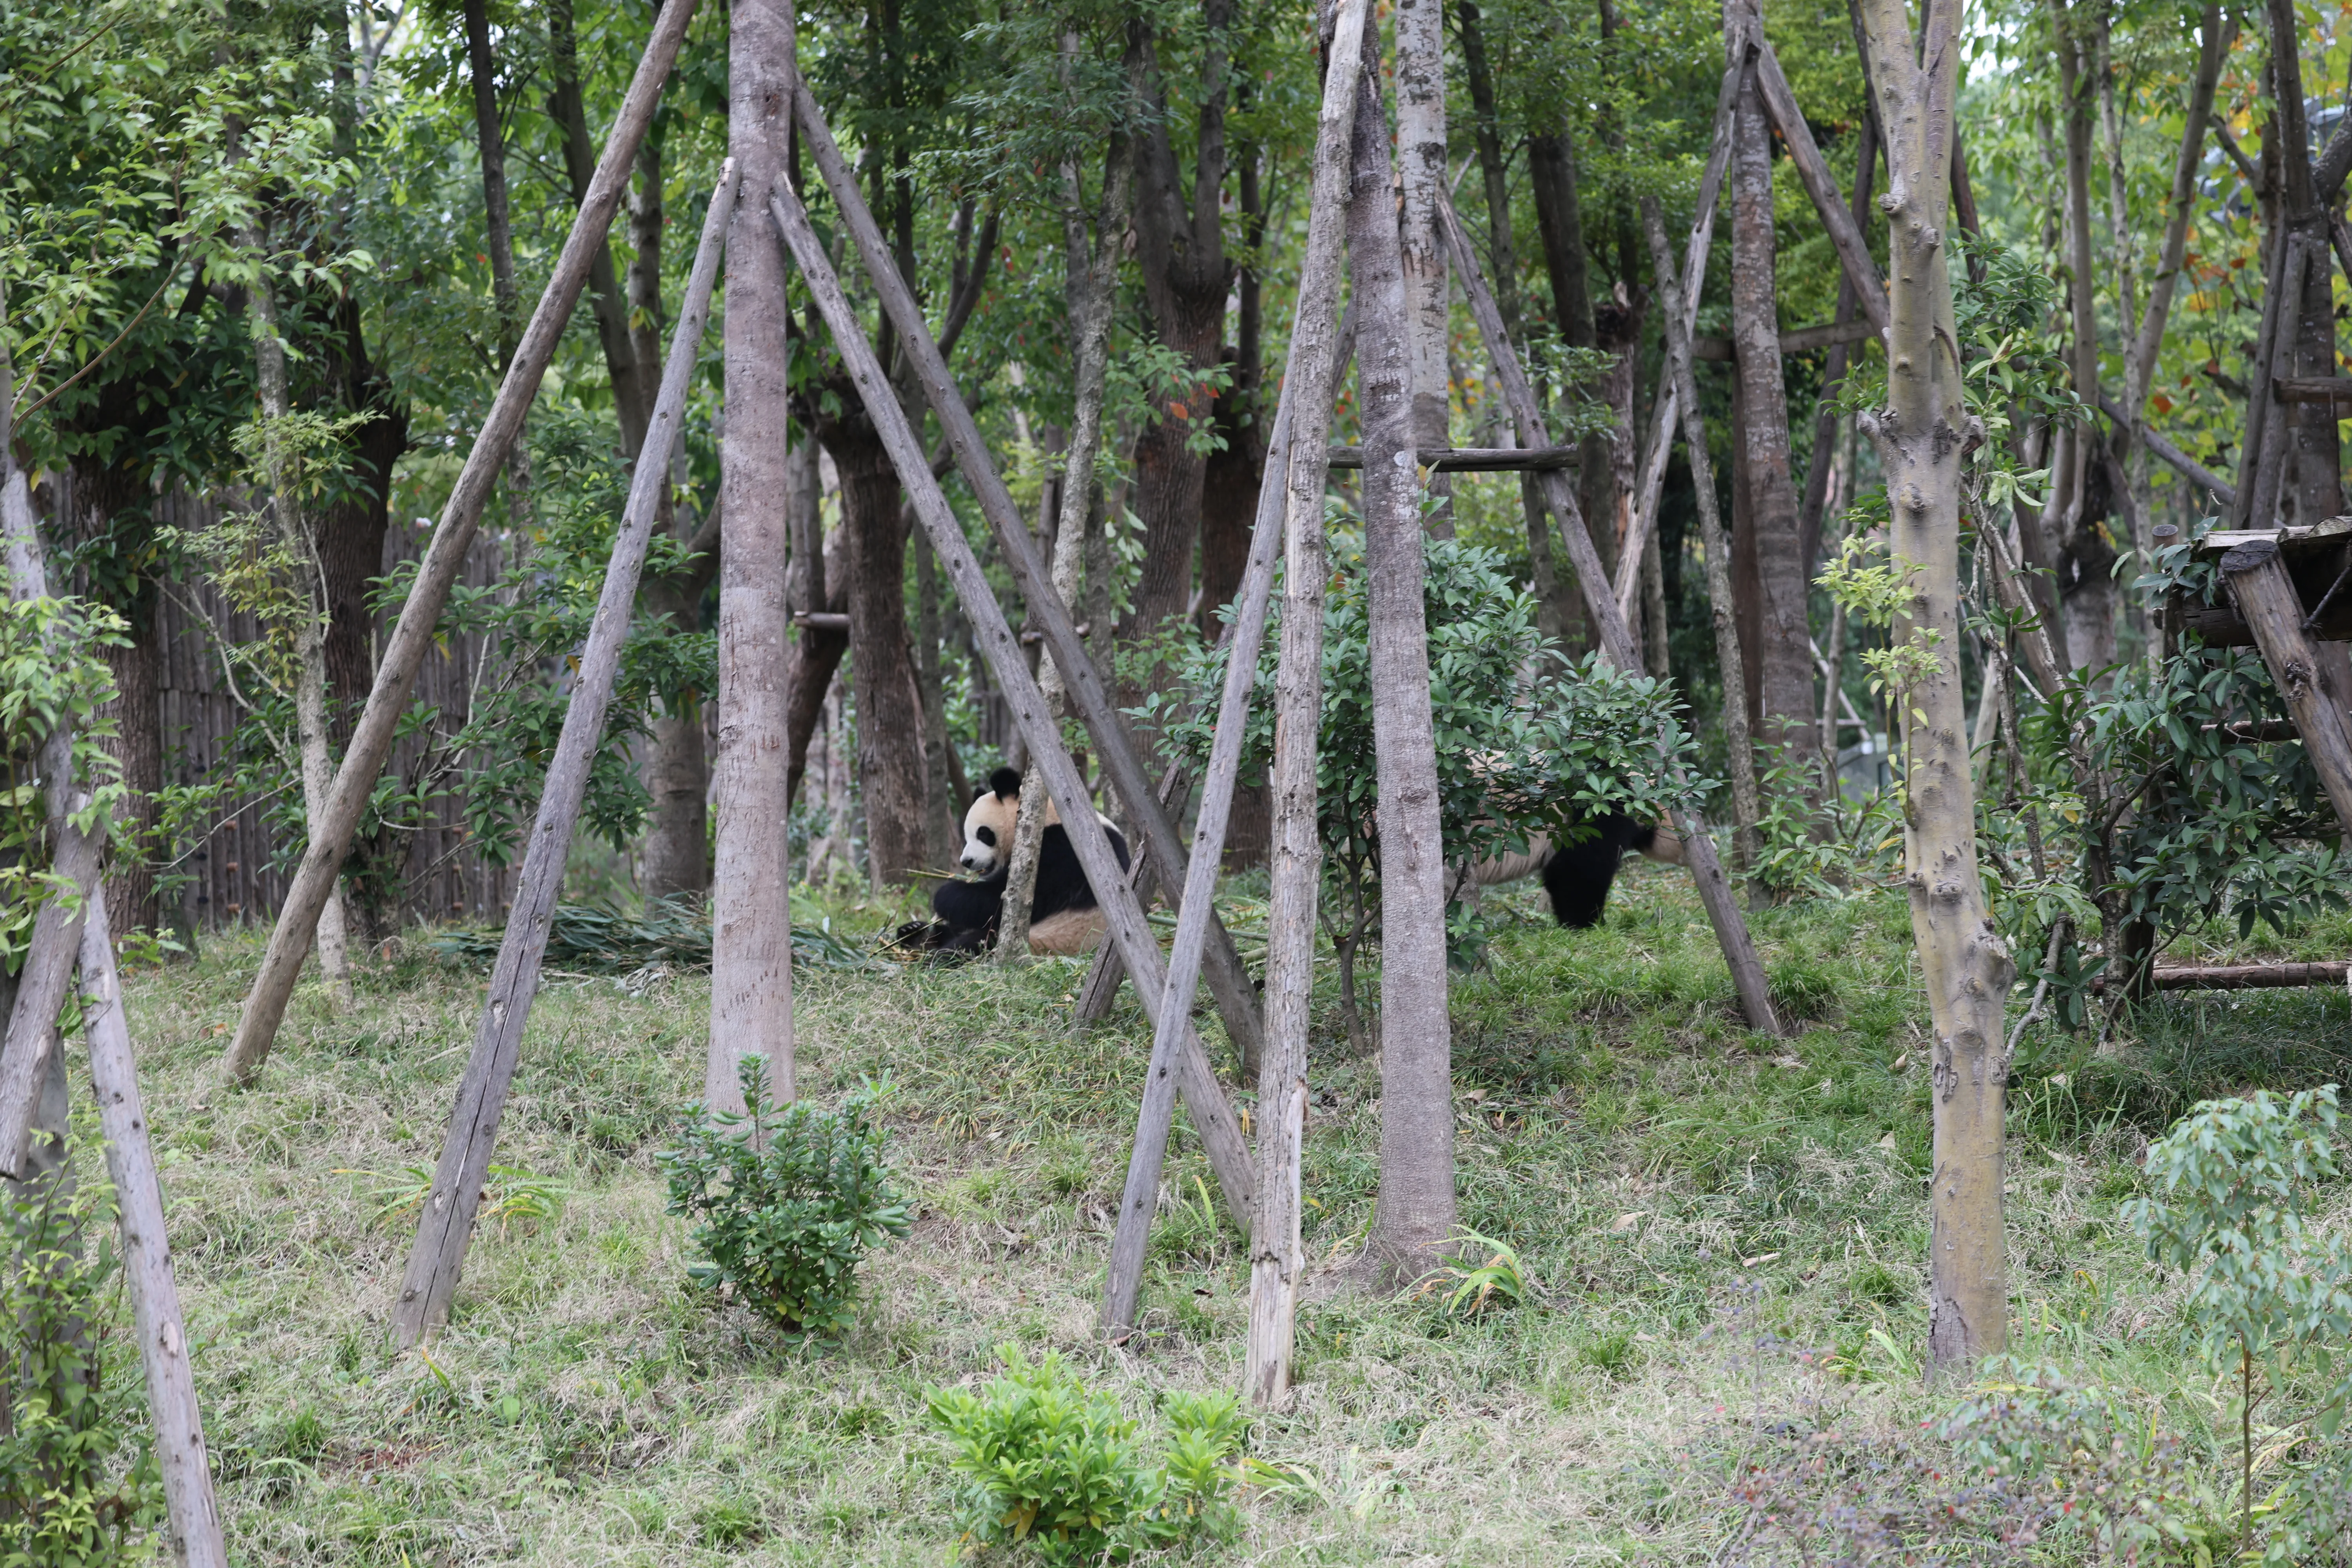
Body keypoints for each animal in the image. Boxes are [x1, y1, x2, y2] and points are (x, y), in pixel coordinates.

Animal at [919, 768, 1131, 956]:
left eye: (983, 833)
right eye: (967, 836)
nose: (967, 862)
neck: (1045, 818)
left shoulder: (1062, 853)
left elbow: (1001, 902)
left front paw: (945, 895)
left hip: (1047, 941)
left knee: (977, 942)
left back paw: (937, 956)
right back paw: (917, 934)